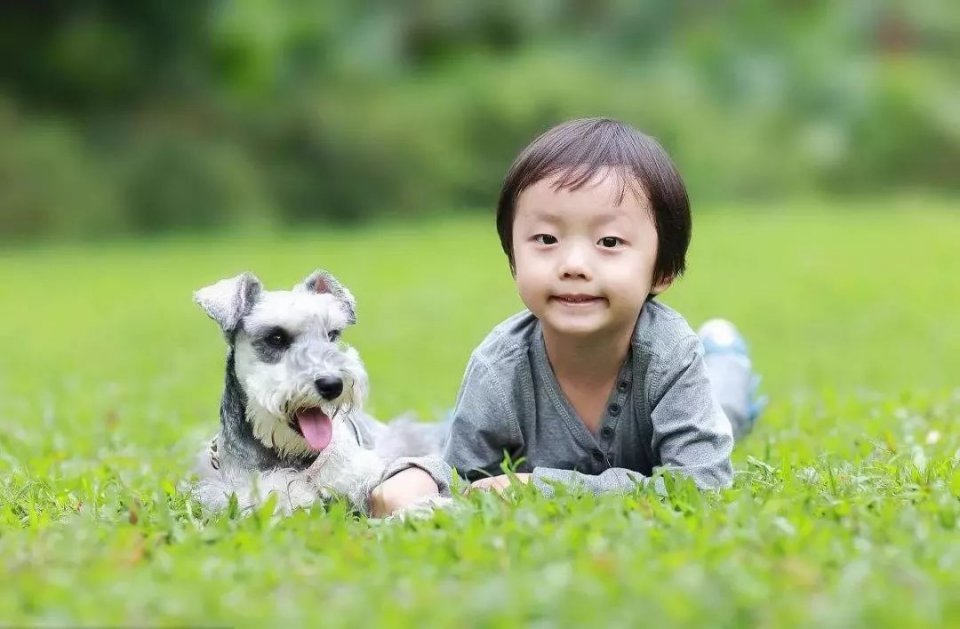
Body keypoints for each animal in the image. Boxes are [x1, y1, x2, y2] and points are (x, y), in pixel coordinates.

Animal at [193, 268, 452, 516]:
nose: (333, 384)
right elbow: (276, 492)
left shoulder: (361, 468)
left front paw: (427, 506)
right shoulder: (238, 488)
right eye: (276, 337)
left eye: (332, 334)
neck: (297, 455)